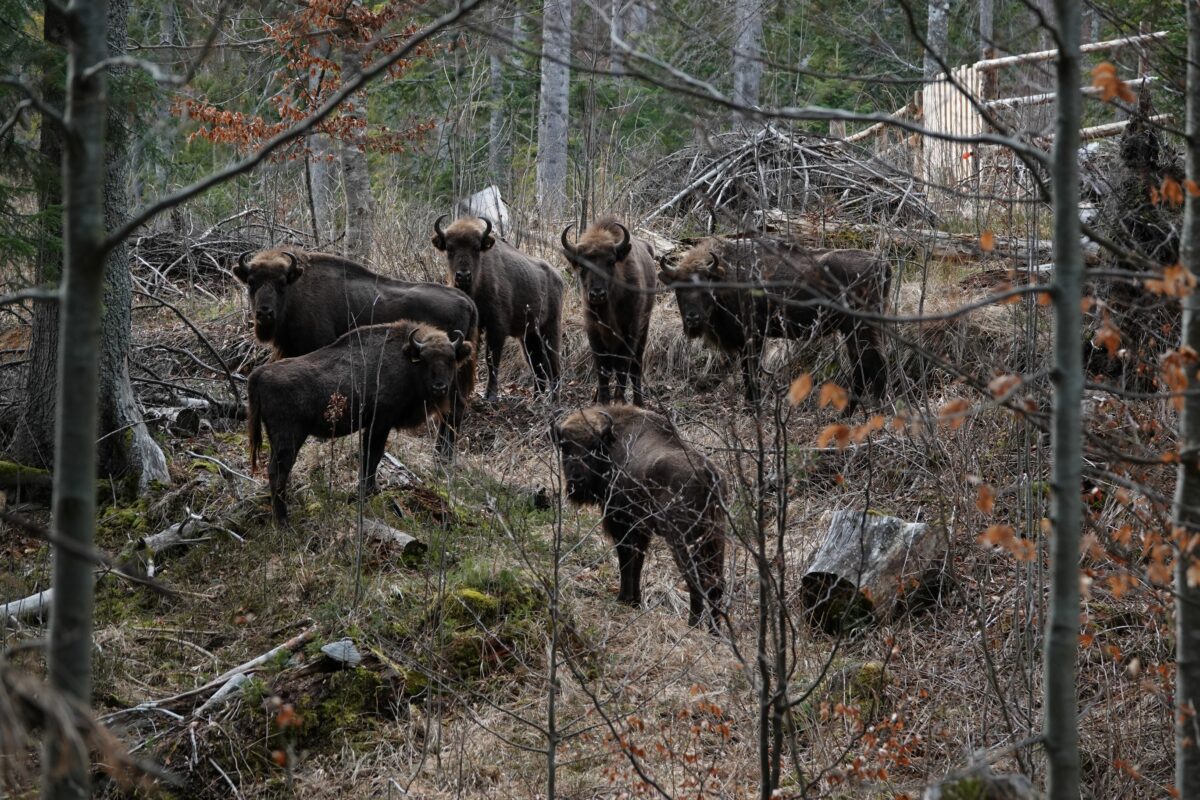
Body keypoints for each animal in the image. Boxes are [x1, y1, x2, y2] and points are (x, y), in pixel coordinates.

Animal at [248, 321, 472, 522]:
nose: (440, 387)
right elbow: (373, 455)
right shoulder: (380, 422)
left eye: (451, 359)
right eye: (425, 360)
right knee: (279, 472)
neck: (407, 362)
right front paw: (369, 491)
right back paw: (283, 521)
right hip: (289, 438)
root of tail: (259, 373)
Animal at [432, 214, 561, 400]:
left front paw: (491, 395)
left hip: (550, 328)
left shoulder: (497, 327)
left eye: (476, 248)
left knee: (553, 361)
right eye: (449, 248)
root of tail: (557, 275)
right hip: (529, 335)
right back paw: (536, 398)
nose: (463, 276)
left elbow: (491, 359)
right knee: (536, 364)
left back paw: (554, 399)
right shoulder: (476, 327)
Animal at [549, 407, 724, 633]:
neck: (611, 444)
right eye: (564, 446)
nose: (576, 480)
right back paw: (715, 633)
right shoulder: (642, 531)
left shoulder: (621, 524)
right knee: (717, 584)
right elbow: (638, 563)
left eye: (594, 446)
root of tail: (707, 474)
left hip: (682, 540)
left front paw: (623, 598)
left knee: (698, 581)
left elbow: (625, 560)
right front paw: (635, 601)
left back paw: (692, 625)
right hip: (716, 538)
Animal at [561, 217, 657, 407]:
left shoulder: (630, 333)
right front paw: (603, 401)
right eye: (582, 265)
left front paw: (619, 400)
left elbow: (622, 367)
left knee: (636, 366)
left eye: (611, 261)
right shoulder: (594, 333)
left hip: (644, 328)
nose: (597, 294)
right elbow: (602, 367)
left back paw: (638, 402)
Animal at [657, 236, 892, 412]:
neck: (726, 275)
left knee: (876, 364)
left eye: (705, 290)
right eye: (678, 290)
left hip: (862, 328)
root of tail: (883, 264)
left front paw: (752, 407)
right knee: (862, 367)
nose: (693, 319)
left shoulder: (753, 337)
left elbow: (750, 372)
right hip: (851, 331)